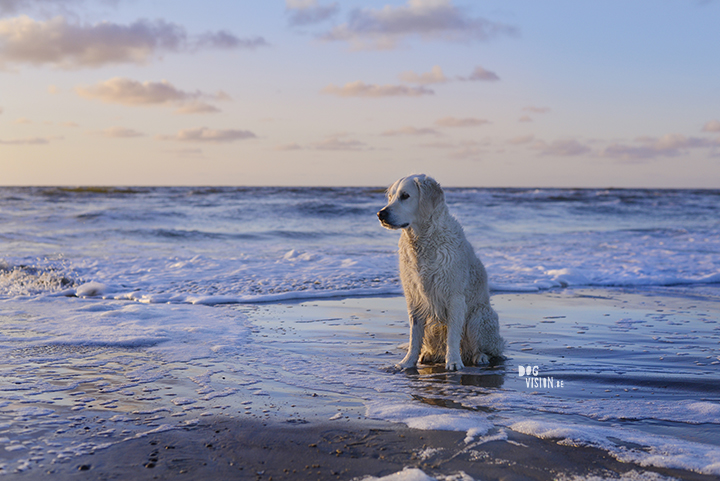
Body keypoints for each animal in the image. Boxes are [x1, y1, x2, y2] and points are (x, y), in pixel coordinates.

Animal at [376, 174, 506, 370]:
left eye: (405, 196)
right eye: (390, 197)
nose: (380, 214)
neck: (423, 241)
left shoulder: (455, 298)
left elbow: (452, 335)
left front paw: (453, 362)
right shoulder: (414, 298)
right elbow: (414, 336)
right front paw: (407, 362)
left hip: (479, 317)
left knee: (490, 349)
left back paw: (480, 356)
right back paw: (428, 355)